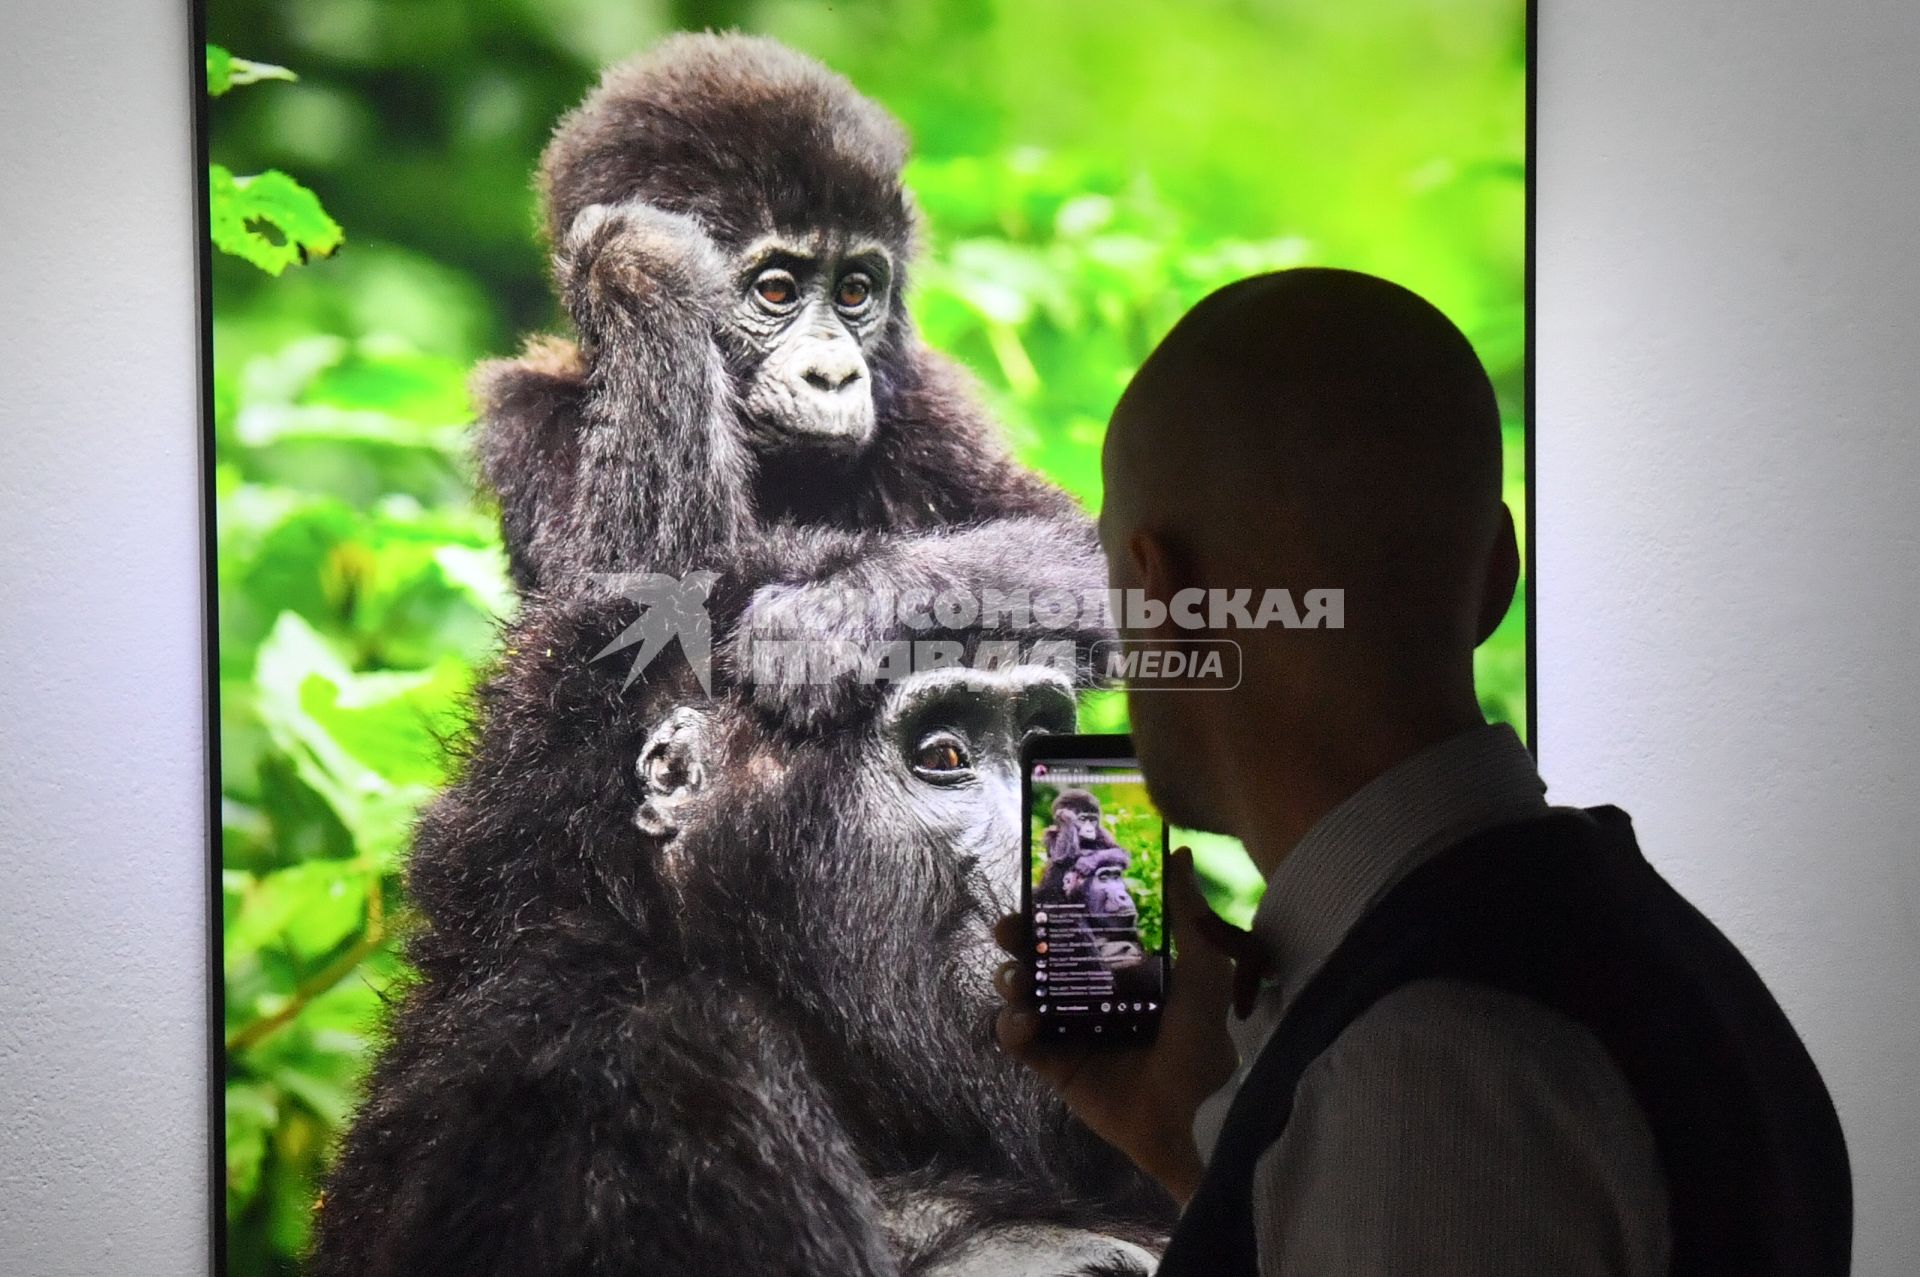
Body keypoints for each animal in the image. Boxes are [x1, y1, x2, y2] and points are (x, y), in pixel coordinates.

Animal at [472, 33, 1090, 591]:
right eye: (775, 291)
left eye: (854, 292)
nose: (834, 376)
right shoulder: (525, 414)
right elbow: (626, 591)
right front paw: (636, 265)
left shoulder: (935, 404)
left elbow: (1067, 545)